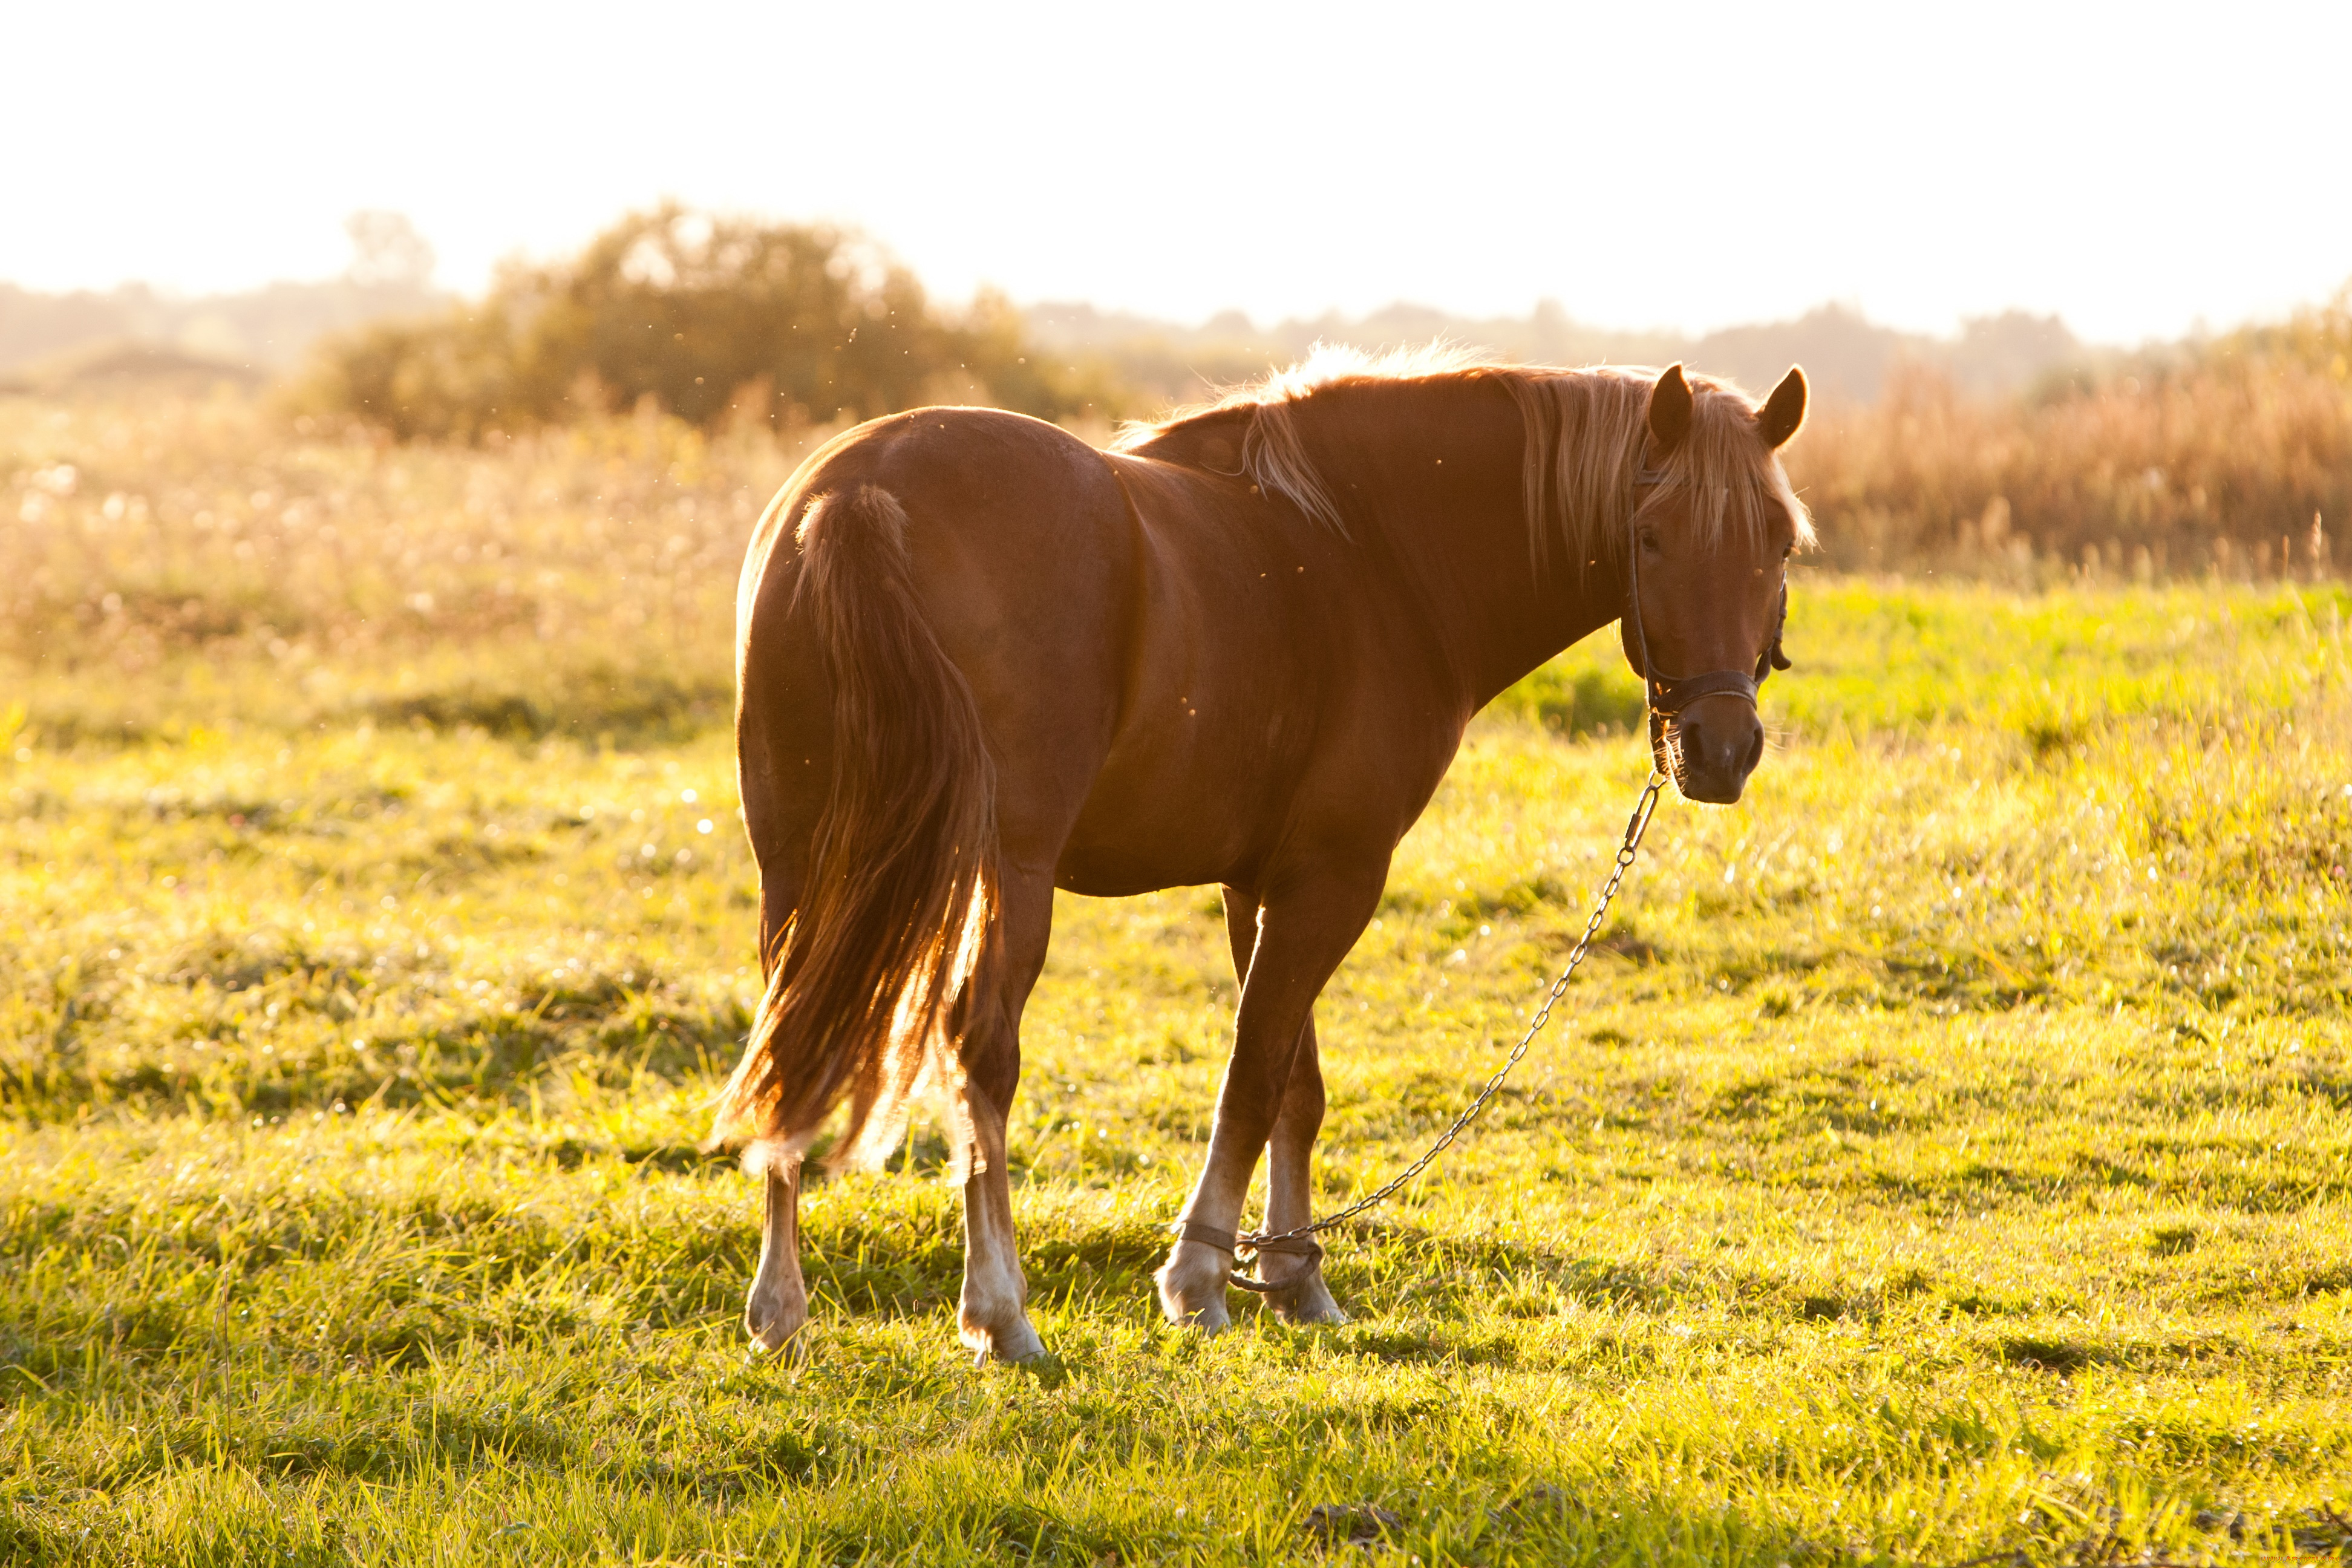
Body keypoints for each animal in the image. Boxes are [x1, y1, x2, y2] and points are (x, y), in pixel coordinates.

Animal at [705, 350, 1806, 1354]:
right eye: (1651, 537)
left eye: (1778, 541)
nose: (1719, 750)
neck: (1370, 555)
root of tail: (856, 494)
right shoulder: (1335, 878)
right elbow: (1254, 1071)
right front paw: (1201, 1277)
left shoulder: (1260, 883)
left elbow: (1294, 1087)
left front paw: (1291, 1275)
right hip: (1005, 872)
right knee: (981, 1055)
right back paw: (1000, 1313)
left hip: (798, 865)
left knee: (792, 1039)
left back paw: (780, 1309)